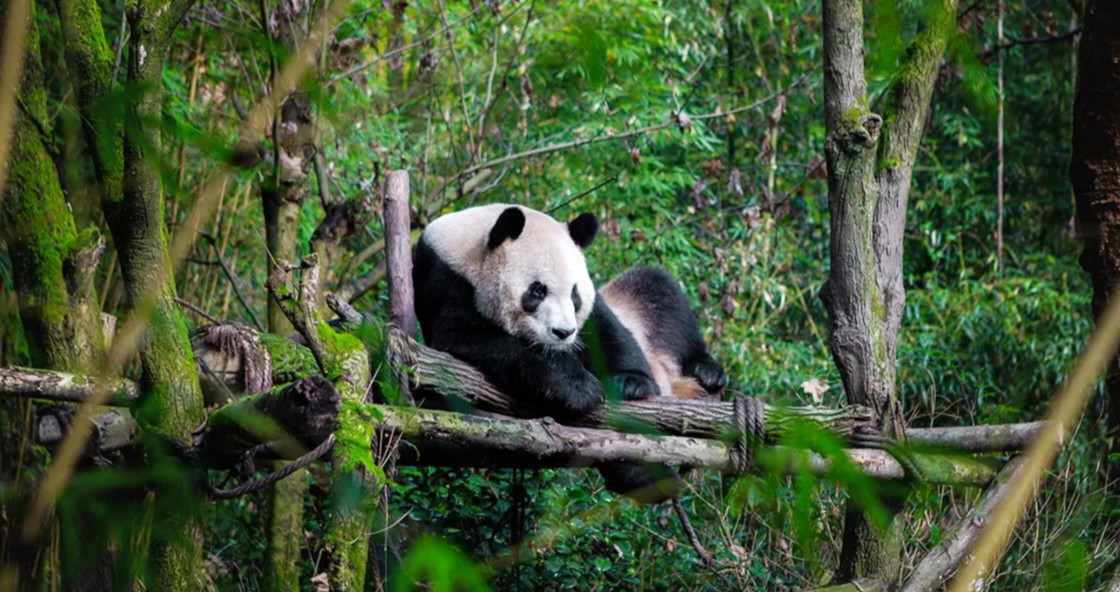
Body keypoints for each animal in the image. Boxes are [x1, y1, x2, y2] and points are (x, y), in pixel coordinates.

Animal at [413, 204, 726, 502]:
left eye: (575, 294)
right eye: (537, 290)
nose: (563, 333)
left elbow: (605, 331)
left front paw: (632, 382)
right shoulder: (448, 283)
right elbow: (471, 338)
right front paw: (578, 387)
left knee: (659, 291)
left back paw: (706, 372)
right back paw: (648, 479)